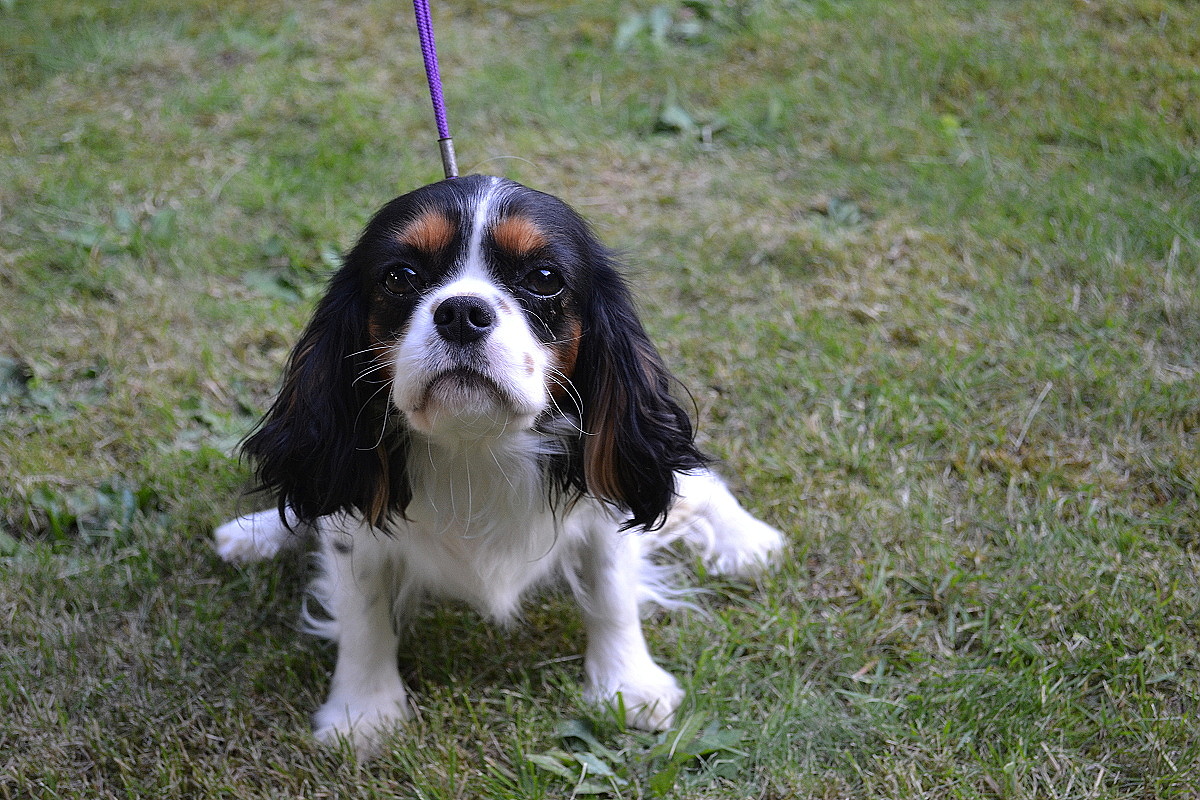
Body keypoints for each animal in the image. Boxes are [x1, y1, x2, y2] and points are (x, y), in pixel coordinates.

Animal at [215, 175, 784, 753]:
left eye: (544, 278)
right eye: (399, 277)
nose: (462, 312)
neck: (475, 444)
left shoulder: (604, 507)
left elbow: (611, 593)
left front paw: (627, 685)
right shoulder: (354, 526)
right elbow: (362, 614)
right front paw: (364, 712)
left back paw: (745, 539)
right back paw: (254, 535)